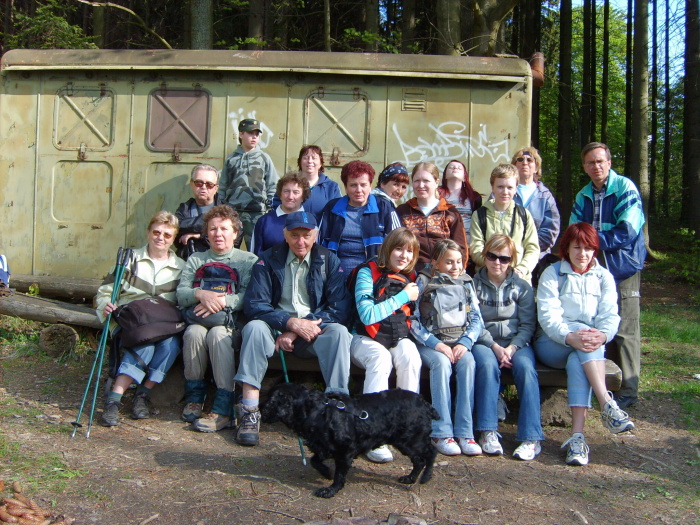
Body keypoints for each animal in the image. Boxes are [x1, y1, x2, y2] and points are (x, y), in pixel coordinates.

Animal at [262, 380, 438, 496]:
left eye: (270, 399)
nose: (259, 409)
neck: (316, 410)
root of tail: (426, 404)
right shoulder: (323, 446)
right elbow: (314, 460)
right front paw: (326, 472)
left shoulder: (344, 451)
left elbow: (339, 475)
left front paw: (330, 490)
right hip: (405, 442)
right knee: (419, 460)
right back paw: (410, 478)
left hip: (411, 440)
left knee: (431, 453)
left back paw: (426, 477)